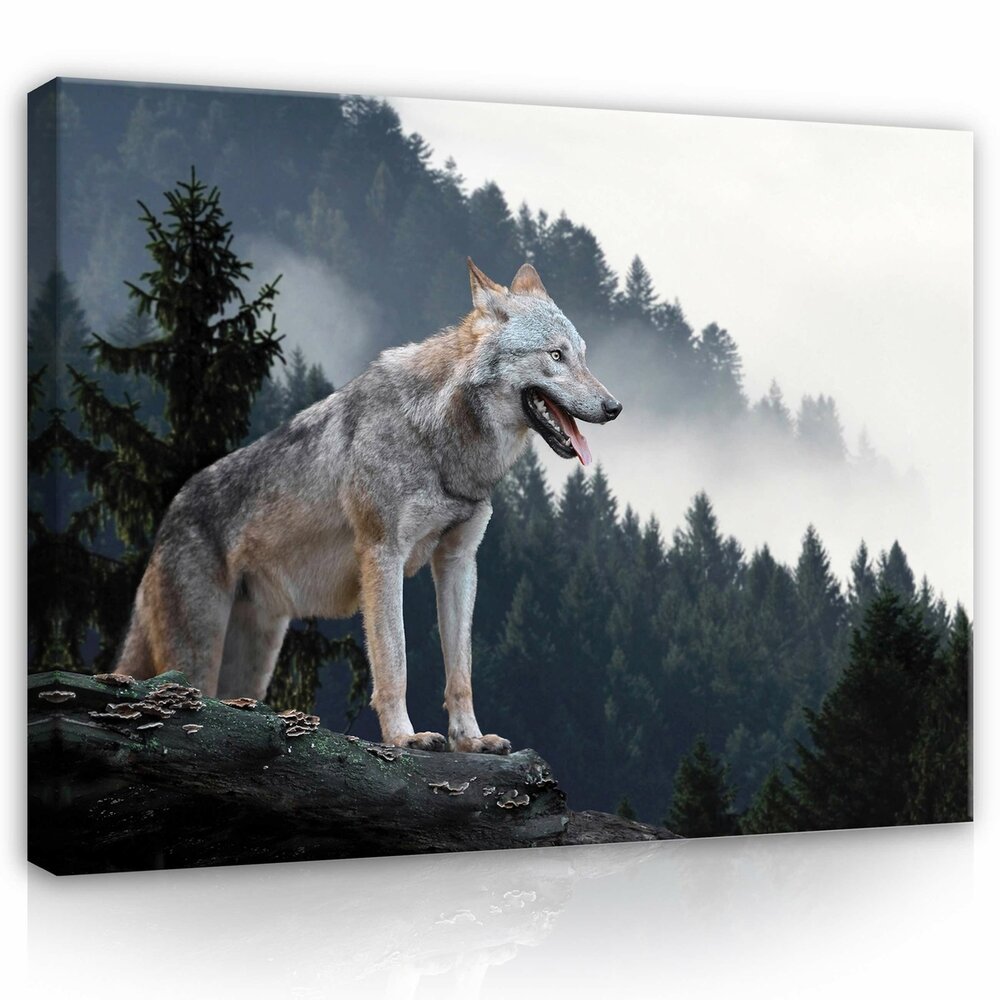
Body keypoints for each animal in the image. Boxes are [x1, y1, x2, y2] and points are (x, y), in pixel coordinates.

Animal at [116, 258, 621, 752]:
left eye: (582, 356)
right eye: (555, 356)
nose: (614, 407)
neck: (440, 439)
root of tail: (169, 516)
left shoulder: (458, 561)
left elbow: (461, 671)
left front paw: (470, 740)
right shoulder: (382, 554)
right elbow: (394, 662)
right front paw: (404, 737)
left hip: (254, 662)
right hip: (199, 655)